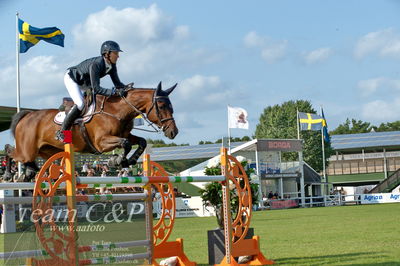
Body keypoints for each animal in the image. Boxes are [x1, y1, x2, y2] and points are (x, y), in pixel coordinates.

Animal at [3, 81, 178, 181]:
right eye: (162, 106)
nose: (173, 132)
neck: (117, 111)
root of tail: (27, 115)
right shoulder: (101, 142)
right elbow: (125, 144)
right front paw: (117, 160)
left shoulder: (125, 134)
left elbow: (141, 141)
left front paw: (129, 160)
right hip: (27, 150)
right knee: (9, 151)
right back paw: (8, 175)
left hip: (47, 151)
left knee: (30, 161)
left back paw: (29, 172)